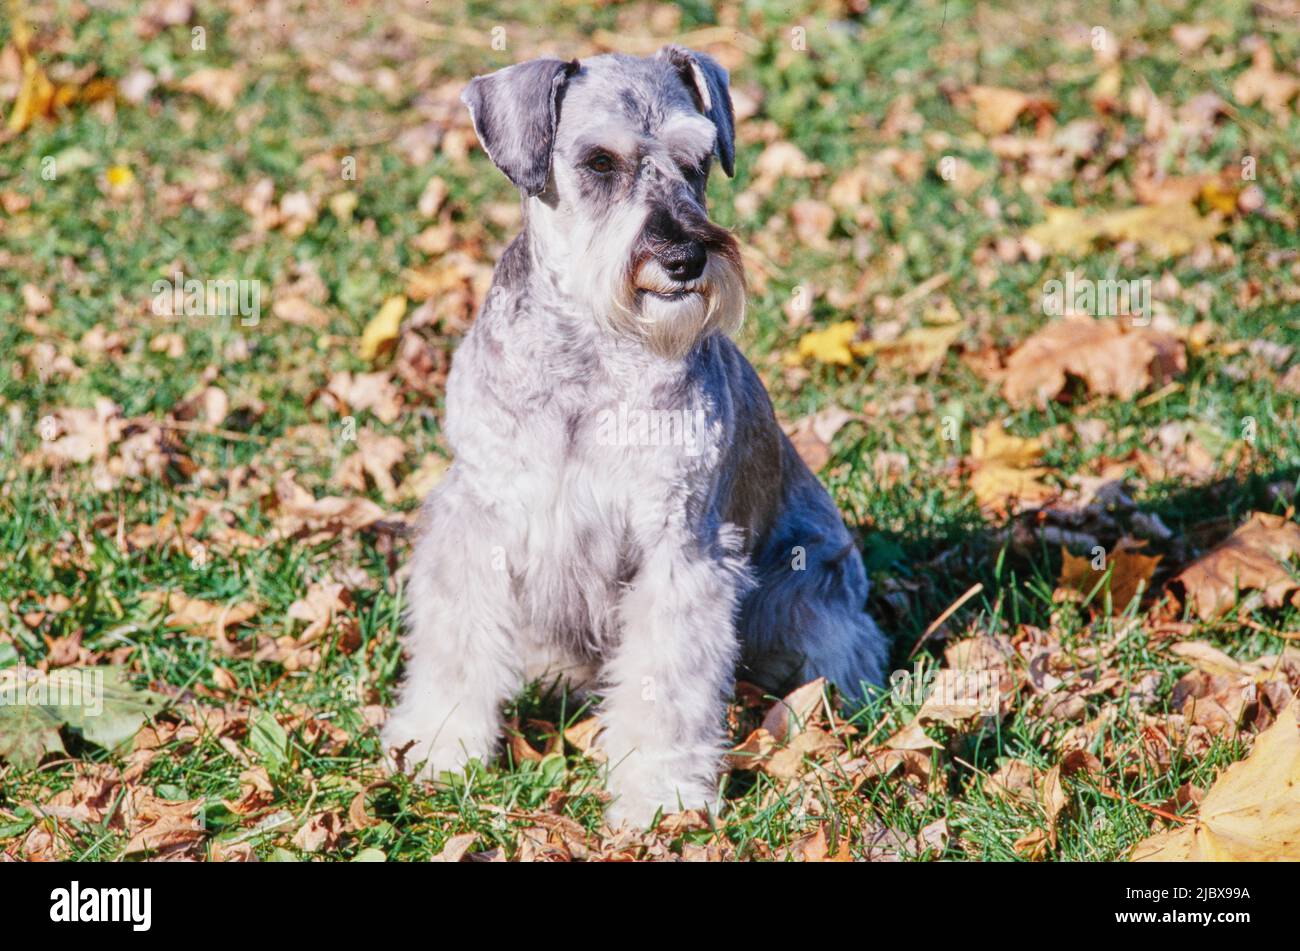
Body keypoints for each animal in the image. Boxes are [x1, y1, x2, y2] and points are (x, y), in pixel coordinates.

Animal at [384, 46, 889, 826]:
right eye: (598, 162)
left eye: (697, 161)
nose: (684, 259)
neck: (588, 351)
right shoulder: (480, 518)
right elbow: (455, 641)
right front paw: (439, 745)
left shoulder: (679, 546)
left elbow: (668, 681)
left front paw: (661, 794)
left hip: (810, 595)